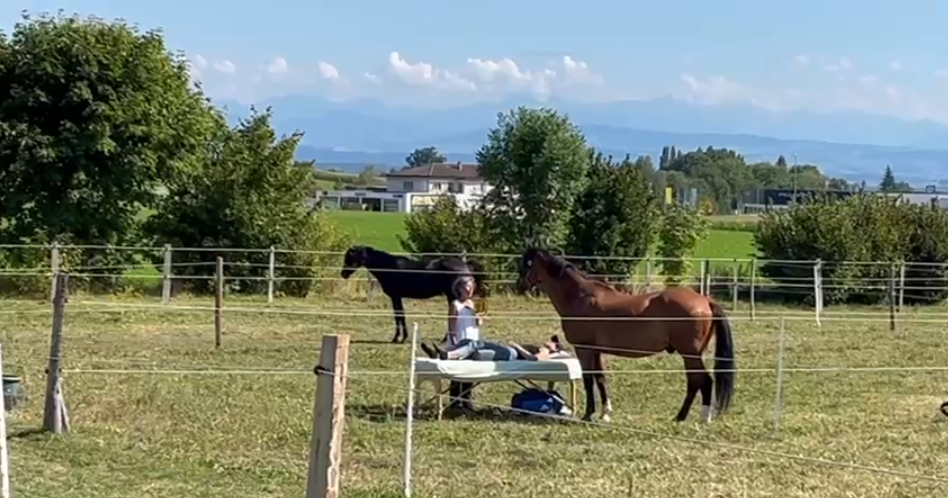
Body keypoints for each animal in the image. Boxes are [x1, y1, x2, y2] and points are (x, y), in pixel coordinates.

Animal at [340, 245, 487, 343]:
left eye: (350, 257)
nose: (343, 274)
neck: (389, 266)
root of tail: (466, 265)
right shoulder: (397, 297)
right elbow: (400, 315)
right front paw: (402, 337)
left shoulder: (395, 296)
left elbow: (399, 316)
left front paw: (398, 338)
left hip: (452, 295)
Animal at [517, 247, 736, 423]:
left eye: (529, 263)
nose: (523, 284)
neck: (580, 297)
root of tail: (705, 300)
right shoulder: (596, 351)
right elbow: (600, 378)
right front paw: (605, 413)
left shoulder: (584, 349)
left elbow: (588, 380)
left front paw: (588, 414)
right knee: (695, 382)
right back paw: (679, 417)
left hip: (690, 354)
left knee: (703, 381)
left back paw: (701, 418)